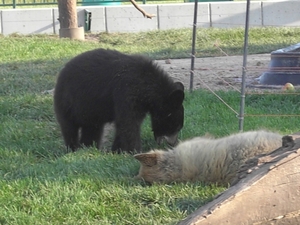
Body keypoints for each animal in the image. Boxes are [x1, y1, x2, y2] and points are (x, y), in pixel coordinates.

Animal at [54, 47, 185, 153]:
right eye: (176, 127)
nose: (173, 143)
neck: (147, 86)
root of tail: (60, 75)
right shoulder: (127, 90)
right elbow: (128, 122)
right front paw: (135, 151)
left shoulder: (140, 102)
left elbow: (124, 124)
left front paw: (117, 150)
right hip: (68, 102)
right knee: (69, 128)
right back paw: (73, 149)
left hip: (90, 111)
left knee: (92, 129)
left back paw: (88, 147)